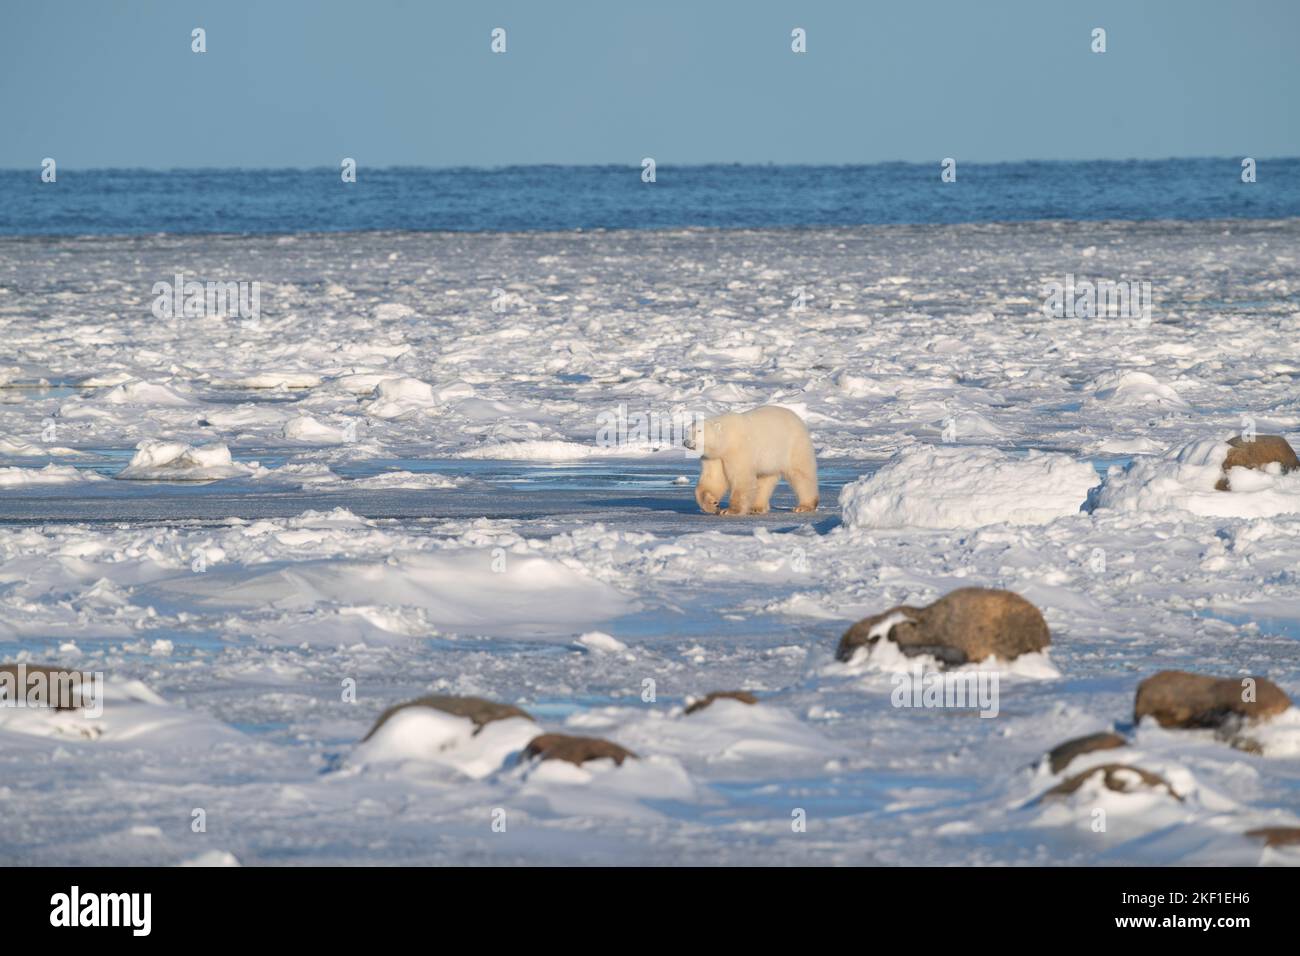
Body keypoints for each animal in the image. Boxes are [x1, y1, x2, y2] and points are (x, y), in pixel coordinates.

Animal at [686, 408, 816, 520]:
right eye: (687, 431)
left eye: (699, 431)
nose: (686, 442)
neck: (726, 440)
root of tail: (797, 418)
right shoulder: (715, 457)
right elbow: (713, 479)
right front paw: (712, 504)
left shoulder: (738, 451)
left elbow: (741, 478)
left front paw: (729, 510)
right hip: (770, 459)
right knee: (765, 480)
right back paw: (756, 508)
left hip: (794, 446)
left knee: (801, 474)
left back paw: (804, 506)